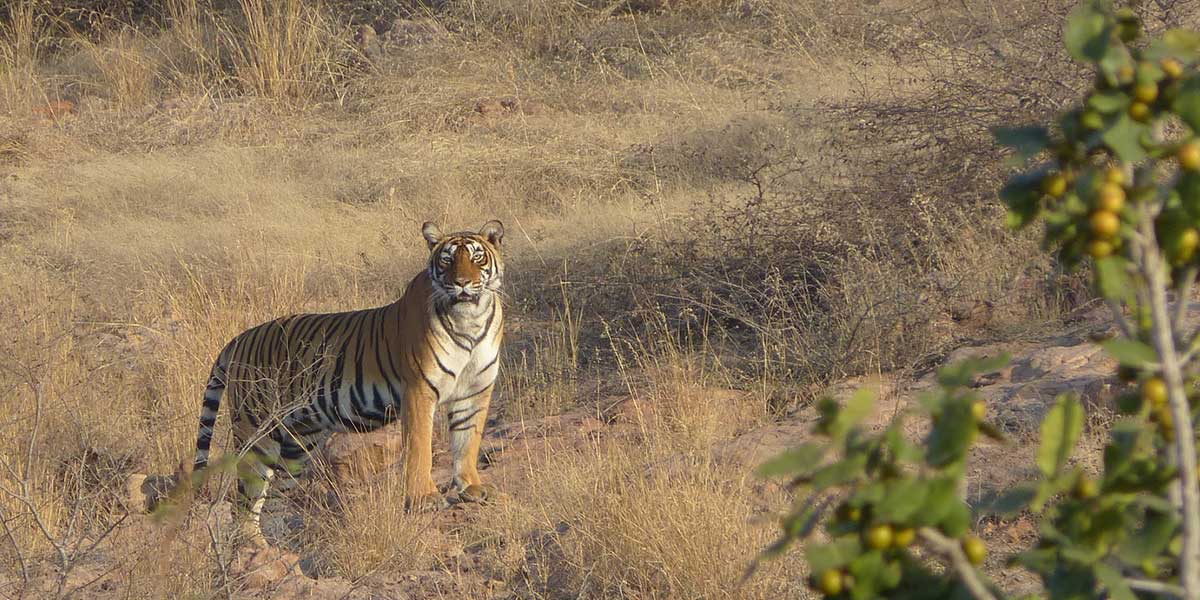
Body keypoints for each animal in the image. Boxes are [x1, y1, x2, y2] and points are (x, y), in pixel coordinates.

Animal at [192, 220, 501, 544]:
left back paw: (274, 542)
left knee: (272, 497)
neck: (470, 320)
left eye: (477, 257)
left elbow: (467, 441)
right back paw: (255, 549)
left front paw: (471, 488)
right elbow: (420, 448)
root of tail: (238, 339)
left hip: (299, 441)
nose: (463, 283)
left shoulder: (475, 391)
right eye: (447, 260)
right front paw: (423, 499)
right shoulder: (419, 391)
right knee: (244, 502)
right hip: (257, 432)